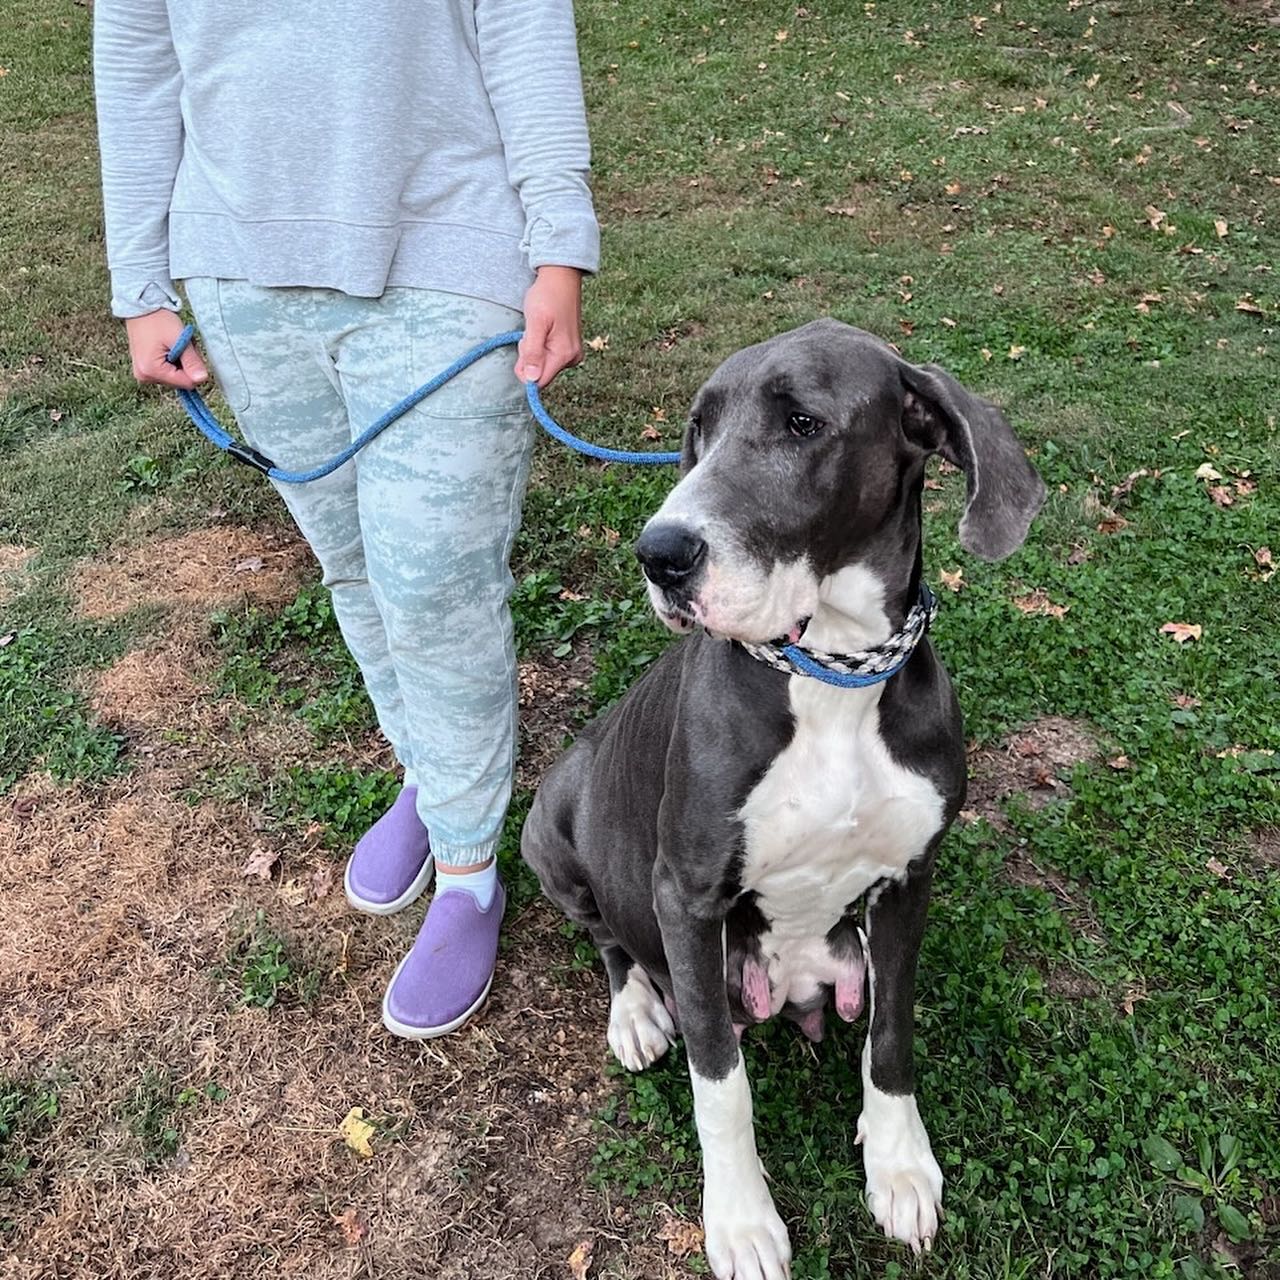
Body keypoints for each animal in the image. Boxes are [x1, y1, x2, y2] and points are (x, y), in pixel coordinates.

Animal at [522, 322, 1049, 1280]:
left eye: (803, 423)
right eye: (698, 429)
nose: (660, 554)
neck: (833, 670)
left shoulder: (910, 879)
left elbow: (893, 1035)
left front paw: (899, 1165)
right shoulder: (687, 897)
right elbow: (720, 1082)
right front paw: (740, 1221)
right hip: (553, 822)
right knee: (609, 938)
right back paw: (635, 1013)